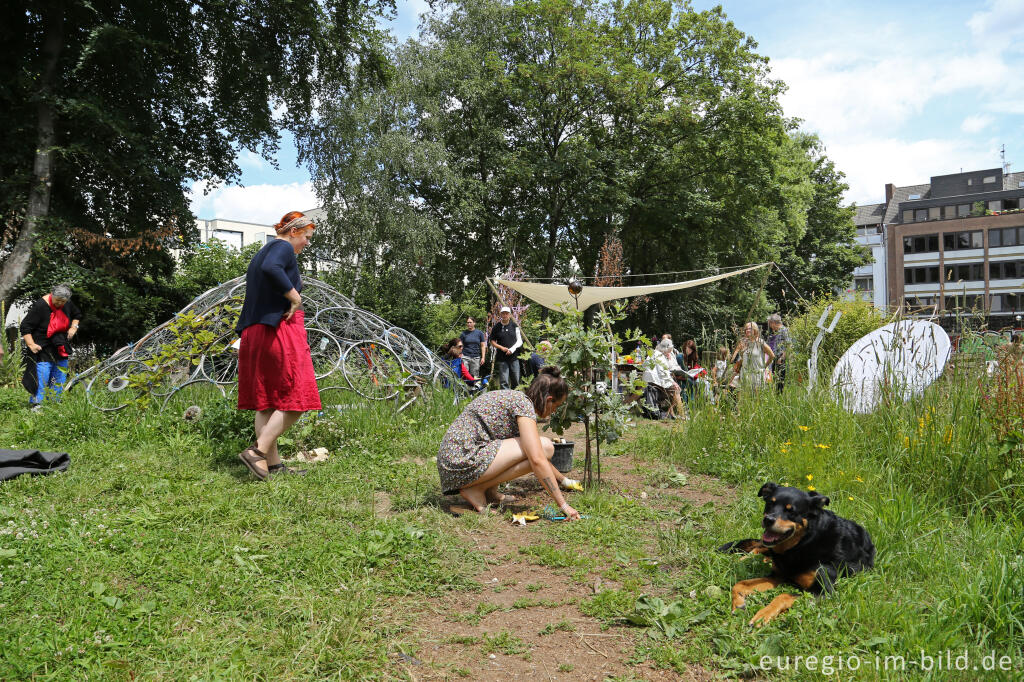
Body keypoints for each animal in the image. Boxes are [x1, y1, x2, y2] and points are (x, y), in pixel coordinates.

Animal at [720, 481, 872, 622]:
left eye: (791, 511)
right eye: (769, 503)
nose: (768, 519)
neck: (802, 544)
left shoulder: (823, 591)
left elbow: (783, 596)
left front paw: (763, 614)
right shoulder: (777, 575)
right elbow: (739, 584)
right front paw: (739, 604)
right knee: (760, 546)